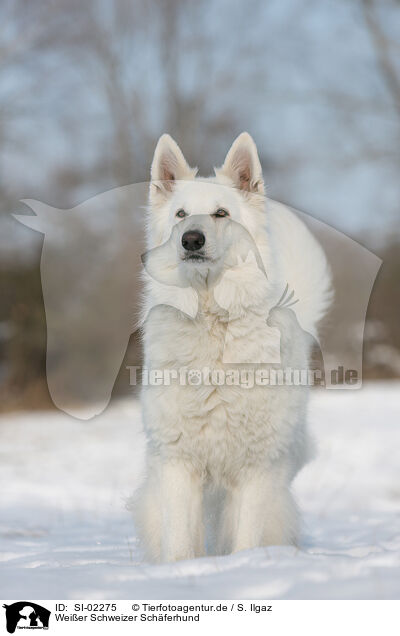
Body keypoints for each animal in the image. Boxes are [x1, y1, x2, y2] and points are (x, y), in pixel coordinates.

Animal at [133, 133, 332, 560]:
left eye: (221, 214)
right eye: (180, 214)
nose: (192, 239)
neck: (213, 322)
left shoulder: (255, 469)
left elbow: (244, 540)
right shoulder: (178, 463)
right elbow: (180, 545)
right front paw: (181, 571)